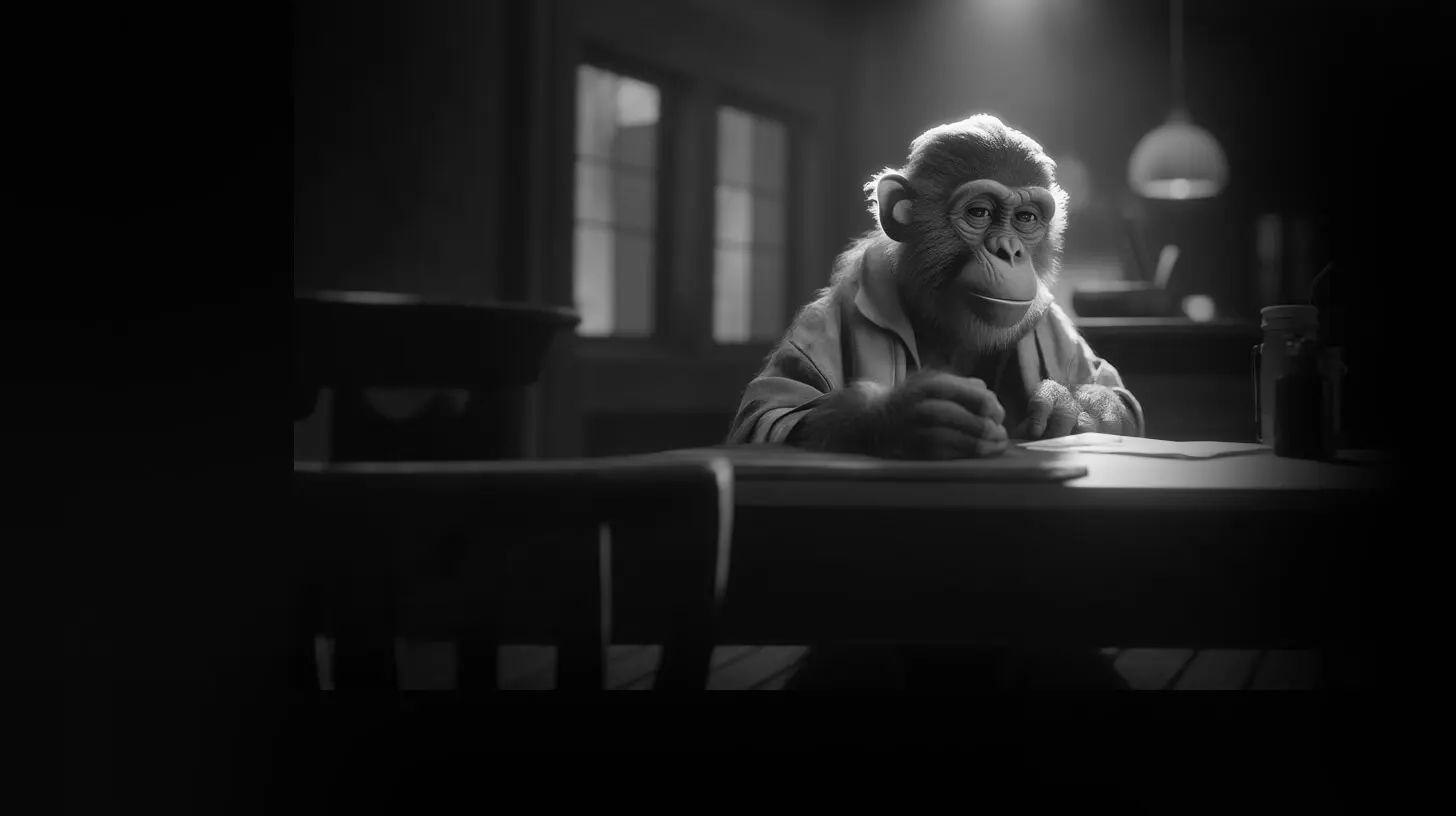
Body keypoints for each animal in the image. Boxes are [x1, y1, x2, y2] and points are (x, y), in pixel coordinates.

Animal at [727, 113, 1143, 458]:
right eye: (979, 212)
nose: (1009, 250)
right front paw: (909, 416)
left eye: (1026, 218)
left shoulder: (1051, 319)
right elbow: (769, 416)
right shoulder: (816, 326)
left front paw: (1064, 404)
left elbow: (1119, 395)